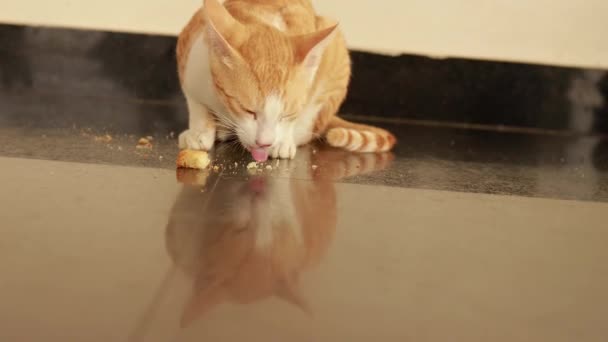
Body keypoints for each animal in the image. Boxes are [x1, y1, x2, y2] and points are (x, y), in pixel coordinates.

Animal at [175, 0, 400, 162]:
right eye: (248, 110)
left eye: (286, 114)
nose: (264, 143)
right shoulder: (190, 52)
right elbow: (196, 103)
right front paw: (199, 130)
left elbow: (301, 115)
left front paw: (282, 141)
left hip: (337, 53)